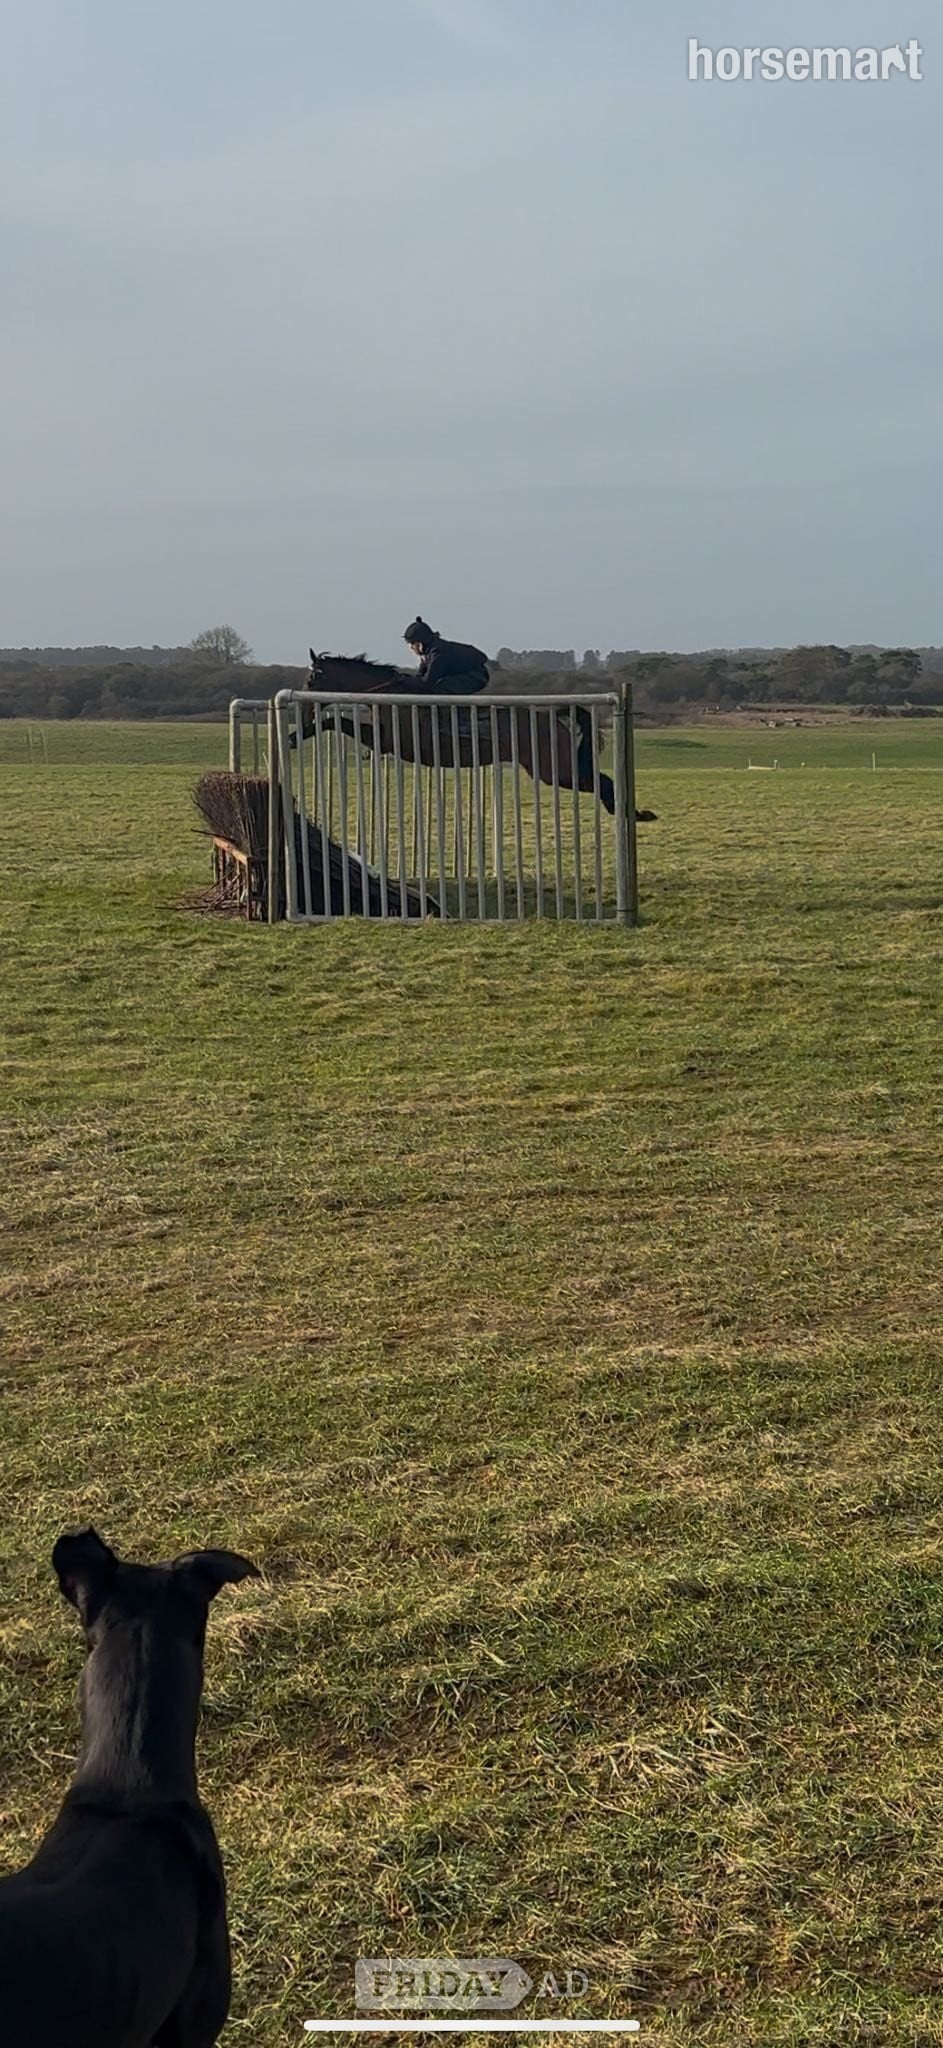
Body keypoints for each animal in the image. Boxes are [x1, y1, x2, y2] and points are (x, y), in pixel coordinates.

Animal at [291, 653, 656, 823]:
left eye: (310, 680)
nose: (303, 711)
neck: (386, 694)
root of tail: (551, 717)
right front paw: (298, 733)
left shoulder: (393, 741)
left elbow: (338, 722)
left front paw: (299, 735)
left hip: (556, 771)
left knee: (602, 781)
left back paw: (633, 814)